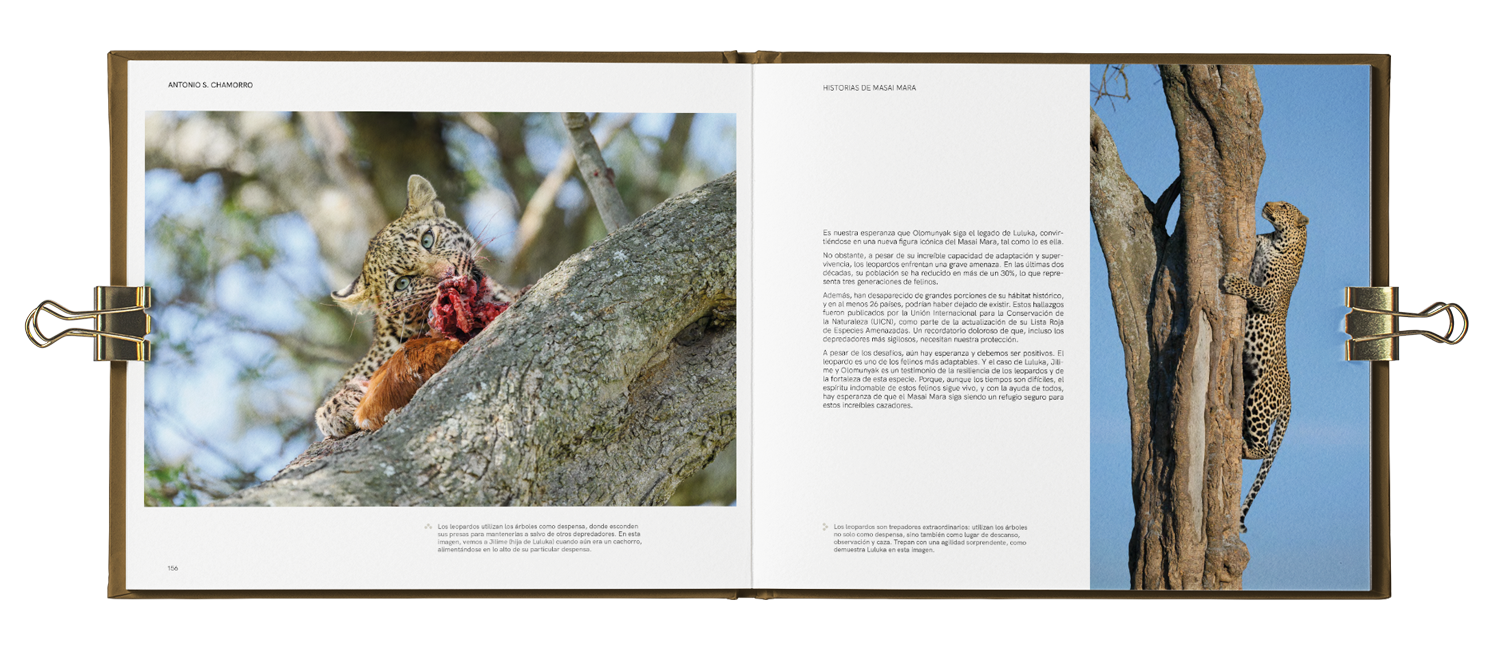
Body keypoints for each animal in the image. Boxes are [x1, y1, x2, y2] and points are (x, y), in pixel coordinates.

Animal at [1220, 201, 1308, 533]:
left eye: (1283, 206)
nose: (1267, 203)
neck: (1279, 240)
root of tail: (1290, 399)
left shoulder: (1270, 296)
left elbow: (1253, 289)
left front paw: (1232, 282)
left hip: (1258, 400)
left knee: (1264, 449)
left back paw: (1246, 448)